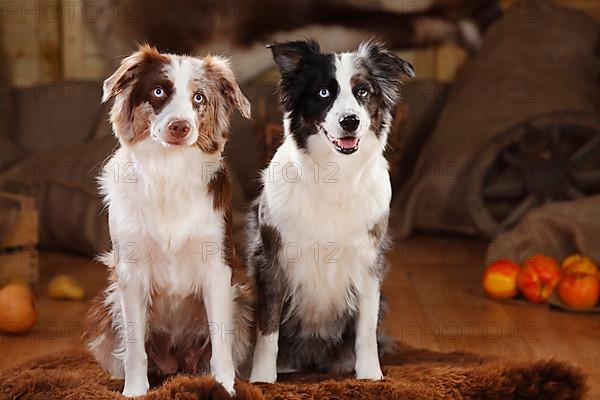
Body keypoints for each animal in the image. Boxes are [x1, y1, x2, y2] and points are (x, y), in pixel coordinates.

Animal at [83, 44, 252, 396]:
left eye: (199, 97)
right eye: (159, 91)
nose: (180, 126)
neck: (168, 170)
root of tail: (176, 363)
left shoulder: (218, 269)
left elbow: (221, 345)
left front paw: (225, 387)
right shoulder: (130, 273)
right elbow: (135, 348)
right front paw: (135, 392)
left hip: (241, 301)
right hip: (109, 302)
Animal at [247, 39, 412, 382]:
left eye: (363, 91)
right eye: (324, 92)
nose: (350, 121)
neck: (335, 173)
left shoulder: (368, 264)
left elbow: (365, 330)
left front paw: (370, 375)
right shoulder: (271, 260)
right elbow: (267, 331)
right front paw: (262, 379)